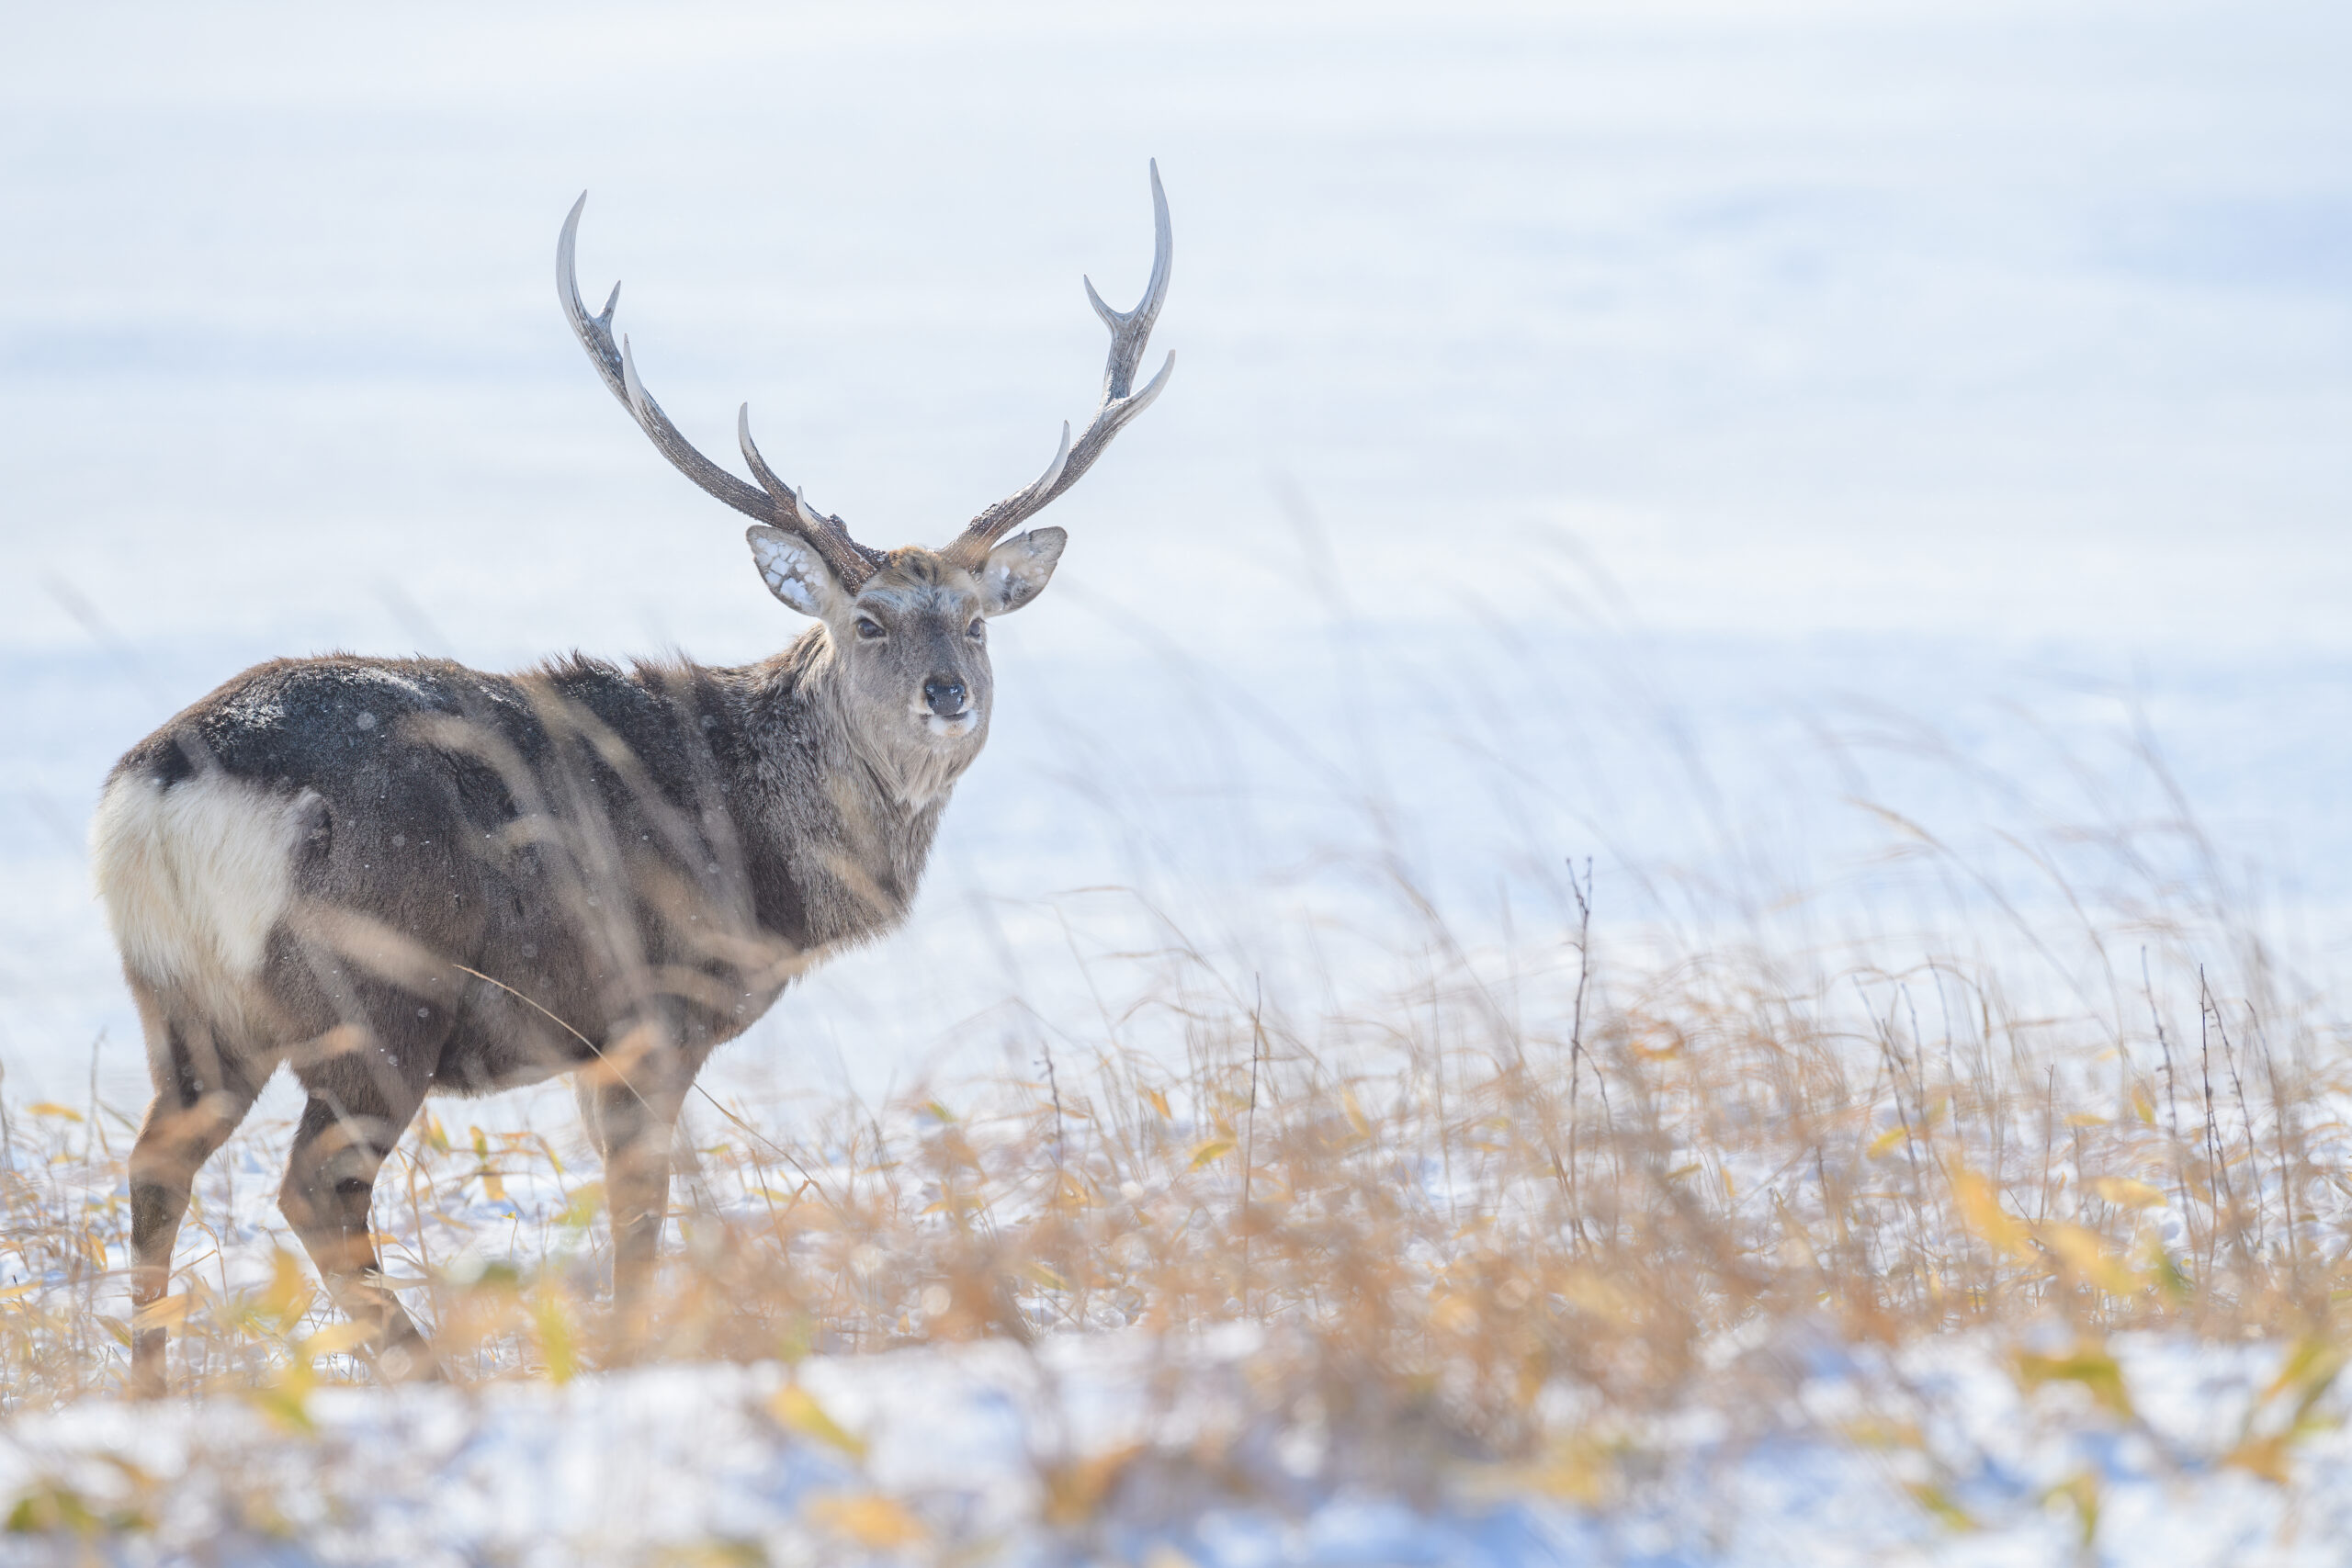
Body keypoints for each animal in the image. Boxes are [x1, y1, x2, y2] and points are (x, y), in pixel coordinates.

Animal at [91, 164, 1173, 1394]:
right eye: (867, 619)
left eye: (979, 621)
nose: (948, 692)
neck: (770, 862)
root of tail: (165, 785)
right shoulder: (649, 1011)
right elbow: (640, 1225)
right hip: (377, 991)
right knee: (316, 1189)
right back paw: (432, 1377)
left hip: (183, 1003)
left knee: (155, 1165)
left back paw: (150, 1388)